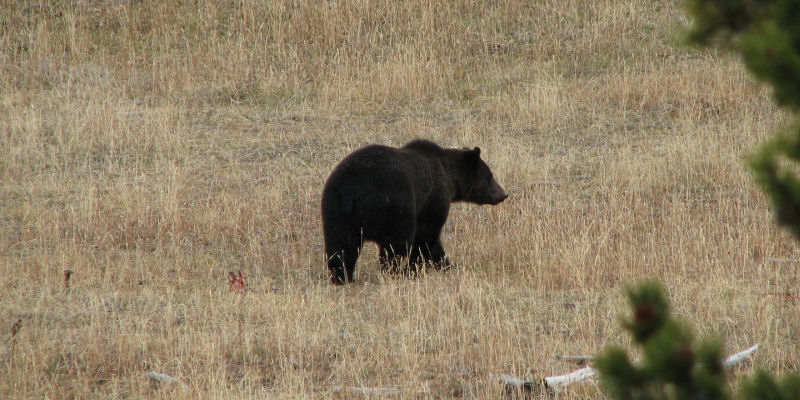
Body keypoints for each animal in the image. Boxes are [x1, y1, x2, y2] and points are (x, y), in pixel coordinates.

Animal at [318, 140, 506, 284]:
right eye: (489, 176)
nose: (503, 194)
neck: (448, 175)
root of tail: (356, 192)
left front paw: (447, 264)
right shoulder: (433, 197)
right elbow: (426, 235)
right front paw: (415, 267)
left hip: (337, 210)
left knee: (341, 246)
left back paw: (343, 277)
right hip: (394, 205)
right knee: (396, 245)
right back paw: (393, 271)